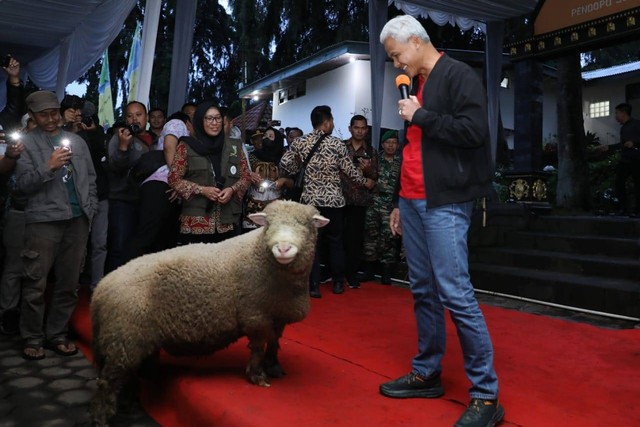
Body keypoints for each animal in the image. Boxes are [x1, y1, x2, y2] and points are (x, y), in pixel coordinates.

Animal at [89, 201, 330, 427]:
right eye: (268, 224)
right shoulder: (256, 315)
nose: (283, 248)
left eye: (305, 225)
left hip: (129, 338)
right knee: (107, 382)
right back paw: (102, 418)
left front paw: (274, 367)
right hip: (124, 337)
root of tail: (100, 290)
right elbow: (258, 348)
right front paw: (257, 375)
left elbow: (274, 343)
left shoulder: (277, 315)